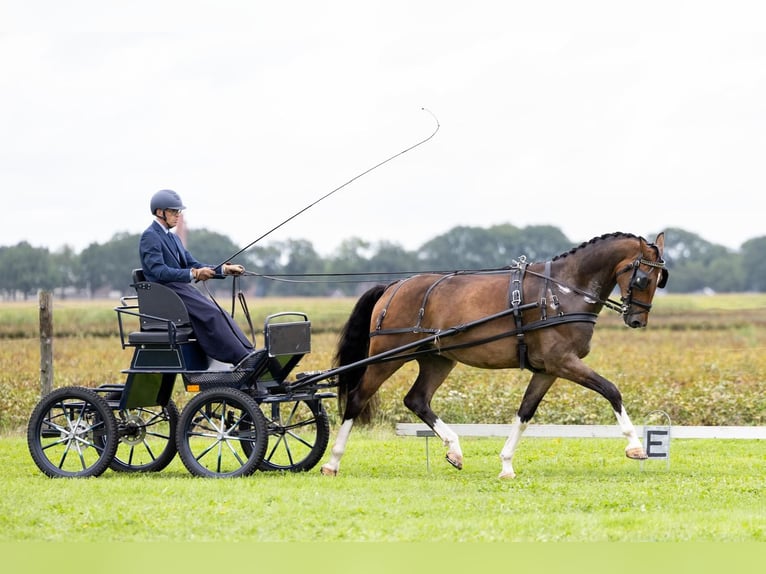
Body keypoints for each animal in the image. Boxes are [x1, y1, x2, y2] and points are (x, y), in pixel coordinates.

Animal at [320, 232, 668, 478]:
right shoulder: (564, 362)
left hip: (437, 359)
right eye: (643, 278)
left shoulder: (548, 370)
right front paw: (635, 446)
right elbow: (611, 390)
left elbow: (525, 412)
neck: (562, 292)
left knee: (416, 400)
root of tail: (394, 286)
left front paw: (506, 464)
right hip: (387, 356)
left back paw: (454, 449)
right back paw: (332, 462)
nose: (637, 321)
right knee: (357, 398)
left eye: (659, 280)